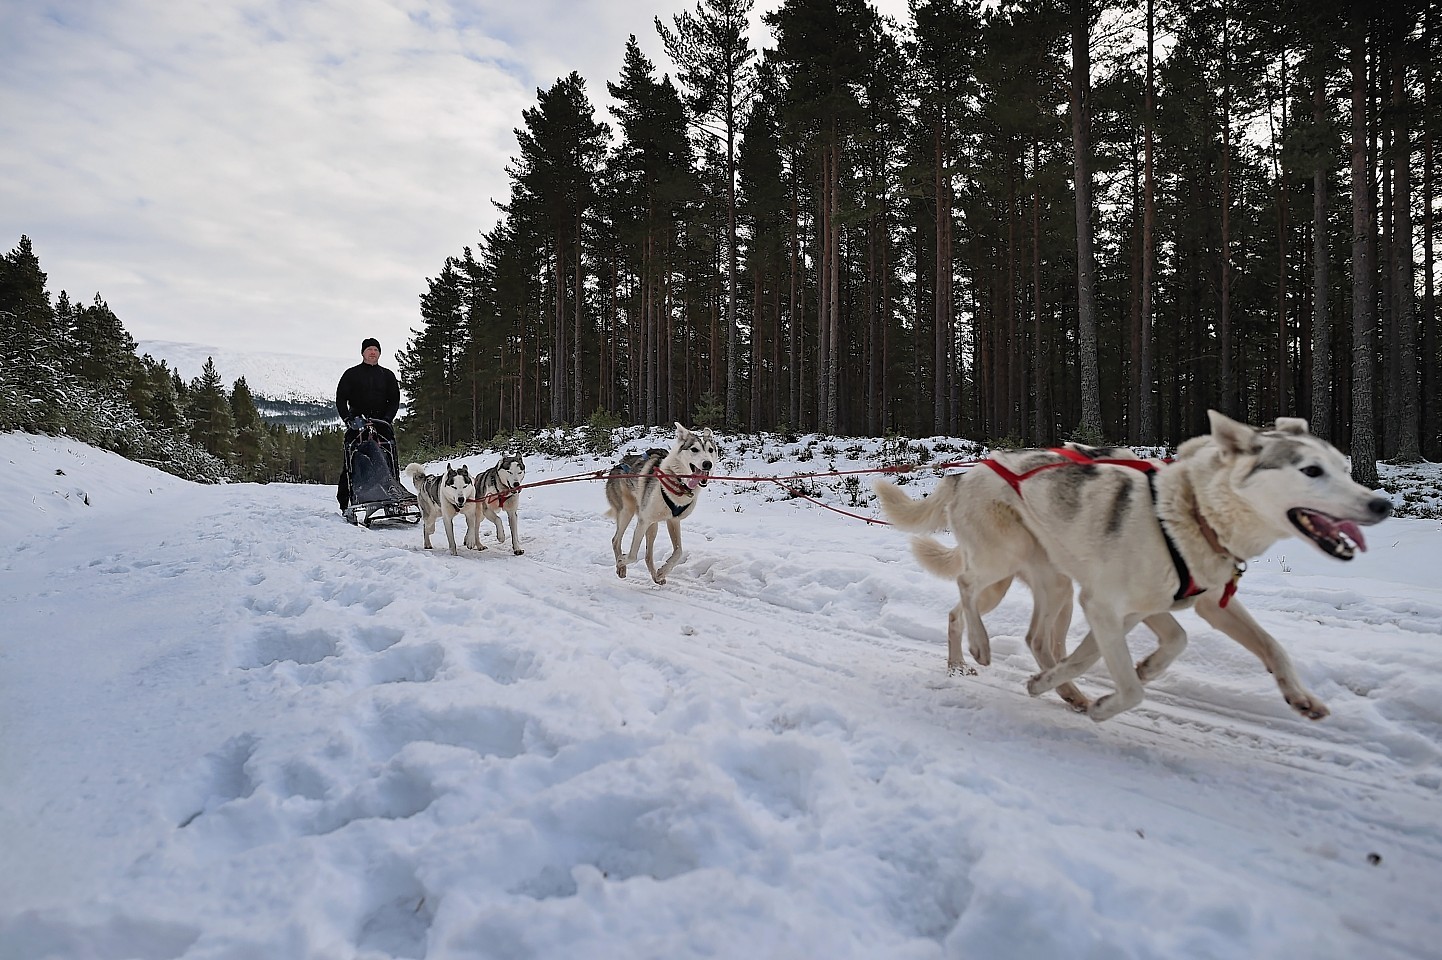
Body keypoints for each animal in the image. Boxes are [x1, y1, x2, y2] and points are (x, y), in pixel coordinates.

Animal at [605, 420, 718, 582]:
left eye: (710, 450)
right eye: (694, 449)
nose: (707, 463)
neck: (678, 483)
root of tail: (618, 465)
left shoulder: (673, 521)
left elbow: (678, 551)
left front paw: (663, 571)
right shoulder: (643, 520)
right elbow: (632, 555)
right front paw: (621, 561)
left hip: (653, 527)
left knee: (648, 556)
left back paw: (655, 576)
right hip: (627, 512)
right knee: (616, 541)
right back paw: (621, 567)